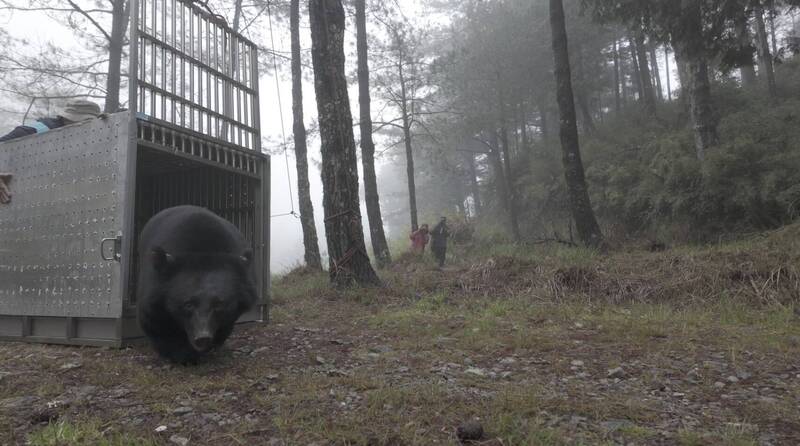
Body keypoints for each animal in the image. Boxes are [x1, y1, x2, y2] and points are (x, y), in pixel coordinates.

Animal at [136, 206, 258, 362]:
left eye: (218, 304)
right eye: (188, 304)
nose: (202, 338)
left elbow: (227, 322)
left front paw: (210, 347)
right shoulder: (154, 288)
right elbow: (153, 320)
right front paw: (182, 355)